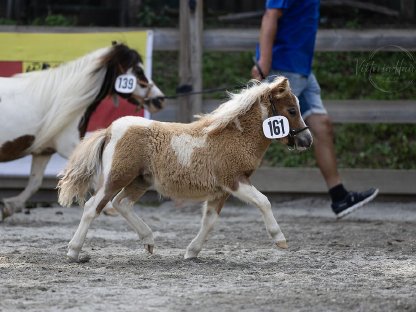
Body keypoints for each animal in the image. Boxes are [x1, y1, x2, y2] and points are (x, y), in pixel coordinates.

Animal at [0, 42, 166, 219]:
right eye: (138, 70)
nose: (159, 99)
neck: (63, 100)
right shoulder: (70, 146)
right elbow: (92, 177)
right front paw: (108, 207)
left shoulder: (43, 151)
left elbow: (35, 182)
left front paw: (9, 207)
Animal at [57, 76, 312, 260]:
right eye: (292, 110)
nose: (307, 140)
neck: (234, 137)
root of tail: (110, 129)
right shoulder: (234, 180)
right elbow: (263, 201)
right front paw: (280, 239)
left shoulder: (220, 191)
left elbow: (209, 221)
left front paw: (191, 252)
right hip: (117, 176)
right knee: (93, 206)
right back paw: (73, 251)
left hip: (141, 180)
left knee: (122, 203)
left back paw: (149, 240)